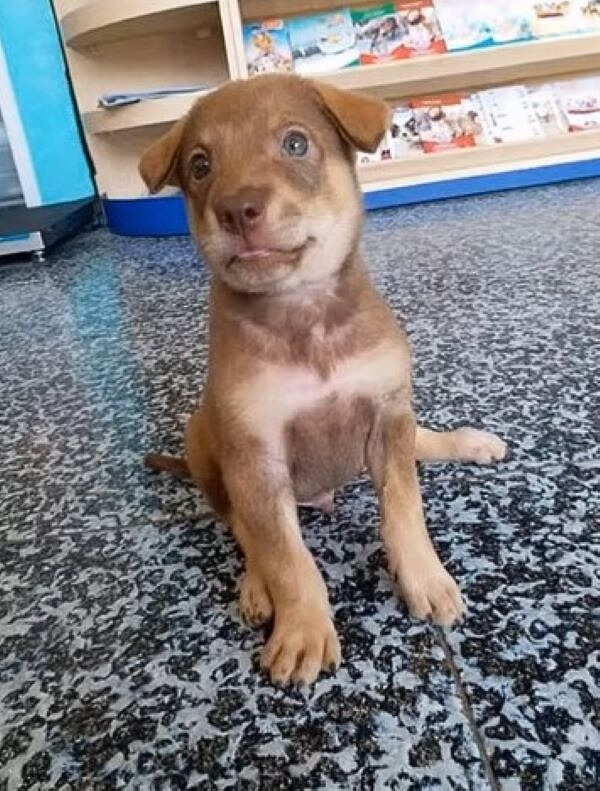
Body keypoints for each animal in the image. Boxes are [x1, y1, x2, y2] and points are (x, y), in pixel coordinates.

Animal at [141, 74, 506, 688]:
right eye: (199, 164)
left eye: (295, 143)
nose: (237, 210)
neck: (303, 310)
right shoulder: (258, 456)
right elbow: (286, 556)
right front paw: (303, 629)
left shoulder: (385, 414)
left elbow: (404, 510)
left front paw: (425, 579)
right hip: (203, 440)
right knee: (241, 525)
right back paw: (256, 586)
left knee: (420, 441)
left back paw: (469, 441)